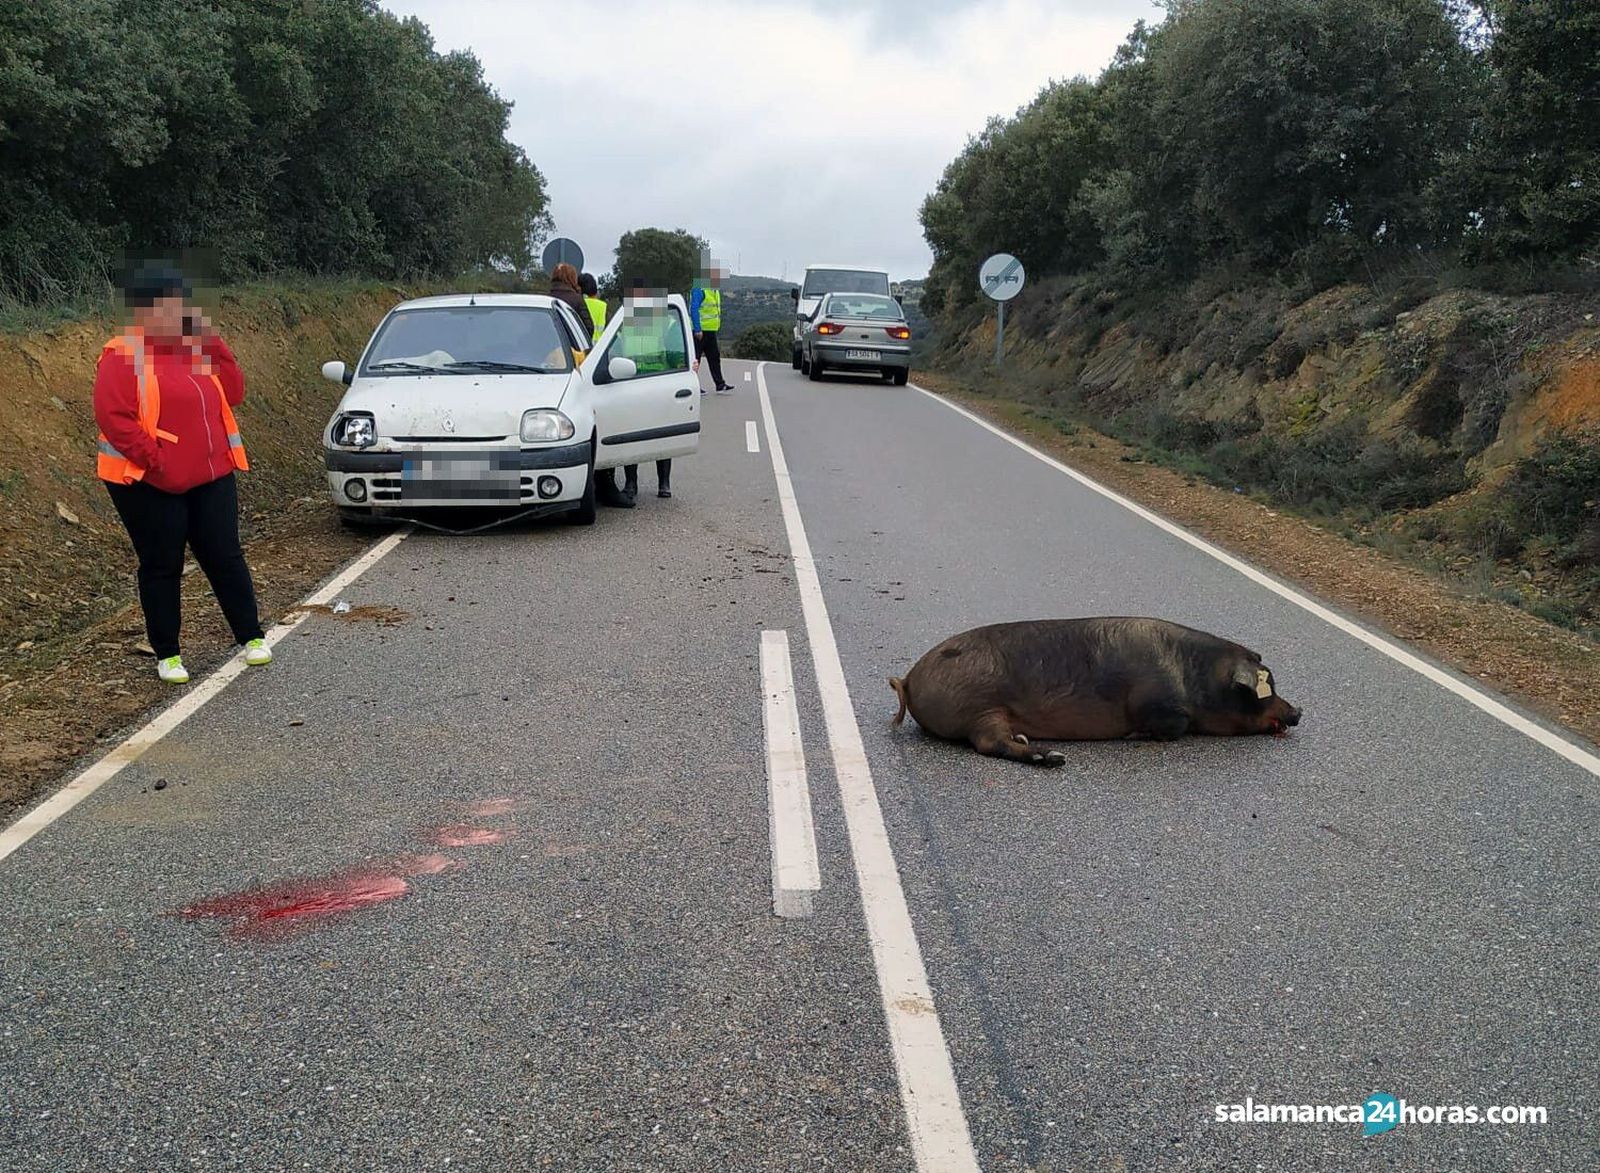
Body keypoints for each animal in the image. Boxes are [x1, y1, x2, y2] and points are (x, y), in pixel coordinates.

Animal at [889, 617, 1302, 767]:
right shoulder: (1160, 706)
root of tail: (908, 679)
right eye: (1266, 687)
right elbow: (1172, 727)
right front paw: (1135, 735)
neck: (1196, 678)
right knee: (989, 744)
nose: (1297, 711)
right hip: (979, 706)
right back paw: (1052, 757)